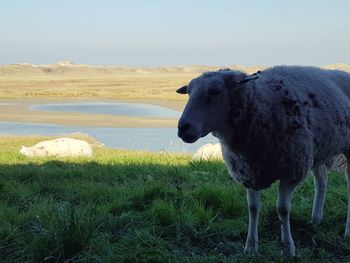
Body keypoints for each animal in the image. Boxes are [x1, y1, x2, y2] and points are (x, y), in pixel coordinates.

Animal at [178, 66, 350, 258]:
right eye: (188, 92)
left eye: (216, 91)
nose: (183, 127)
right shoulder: (249, 171)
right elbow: (253, 208)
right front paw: (250, 247)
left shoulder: (291, 171)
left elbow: (282, 209)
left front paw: (288, 248)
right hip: (317, 149)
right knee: (322, 180)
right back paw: (316, 220)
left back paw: (347, 231)